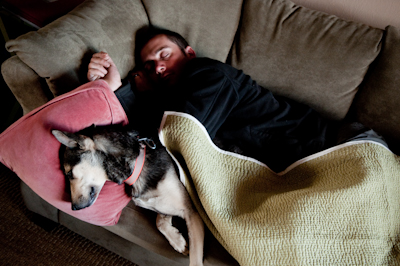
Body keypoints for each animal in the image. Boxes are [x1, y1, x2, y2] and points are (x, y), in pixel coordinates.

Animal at [51, 125, 205, 266]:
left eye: (69, 174)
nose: (73, 208)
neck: (137, 166)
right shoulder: (165, 206)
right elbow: (160, 222)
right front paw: (178, 242)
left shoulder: (192, 211)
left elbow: (195, 260)